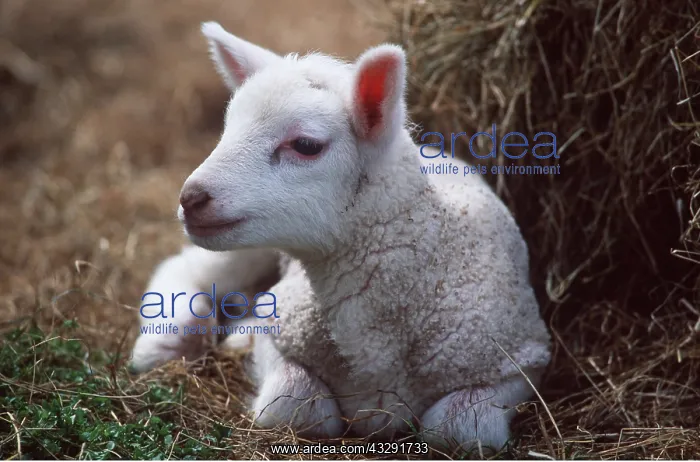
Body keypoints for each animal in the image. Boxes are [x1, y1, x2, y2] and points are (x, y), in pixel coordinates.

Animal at [129, 21, 552, 452]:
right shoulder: (280, 328)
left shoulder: (523, 360)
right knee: (185, 267)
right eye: (228, 127)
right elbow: (294, 401)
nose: (191, 198)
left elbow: (459, 428)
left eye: (305, 145)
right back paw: (166, 340)